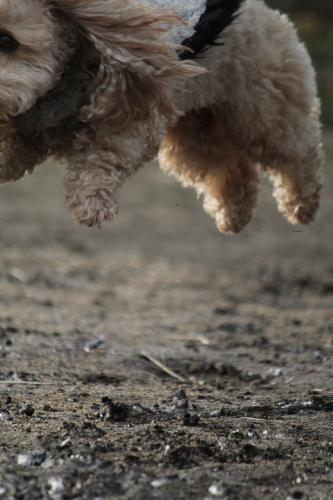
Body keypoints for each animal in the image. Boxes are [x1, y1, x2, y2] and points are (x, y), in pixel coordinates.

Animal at [0, 0, 322, 233]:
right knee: (231, 168)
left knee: (297, 151)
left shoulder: (136, 115)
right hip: (196, 130)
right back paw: (234, 214)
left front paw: (91, 205)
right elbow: (13, 151)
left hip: (264, 105)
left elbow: (105, 154)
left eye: (7, 40)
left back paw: (302, 205)